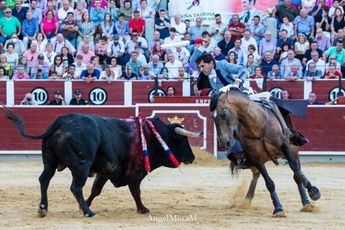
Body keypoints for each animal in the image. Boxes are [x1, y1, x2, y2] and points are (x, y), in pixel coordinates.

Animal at [3, 109, 199, 217]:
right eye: (183, 141)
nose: (192, 157)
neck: (152, 136)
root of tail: (61, 121)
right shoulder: (135, 172)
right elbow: (136, 191)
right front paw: (142, 209)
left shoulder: (106, 171)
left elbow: (95, 190)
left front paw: (84, 204)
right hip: (82, 165)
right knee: (75, 187)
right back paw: (88, 213)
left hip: (49, 162)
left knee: (44, 179)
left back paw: (43, 208)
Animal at [210, 89, 320, 217]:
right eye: (213, 117)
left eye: (224, 114)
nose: (223, 141)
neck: (257, 126)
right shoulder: (256, 159)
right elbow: (269, 183)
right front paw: (278, 208)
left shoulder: (285, 148)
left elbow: (295, 168)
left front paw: (313, 191)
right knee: (256, 175)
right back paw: (246, 201)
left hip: (293, 152)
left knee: (296, 175)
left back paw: (307, 203)